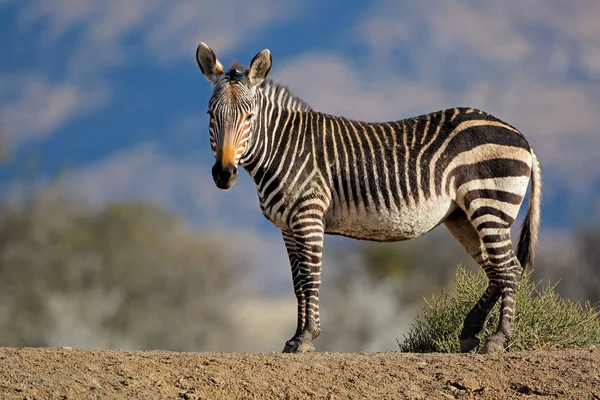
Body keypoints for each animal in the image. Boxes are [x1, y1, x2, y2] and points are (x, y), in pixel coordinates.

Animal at [195, 42, 540, 354]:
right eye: (211, 114)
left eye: (249, 117)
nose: (224, 174)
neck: (283, 148)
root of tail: (520, 136)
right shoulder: (287, 227)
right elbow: (296, 283)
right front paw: (294, 338)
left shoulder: (308, 217)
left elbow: (309, 277)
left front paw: (306, 338)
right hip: (462, 217)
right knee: (496, 270)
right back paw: (470, 332)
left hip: (490, 205)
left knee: (509, 268)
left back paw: (498, 339)